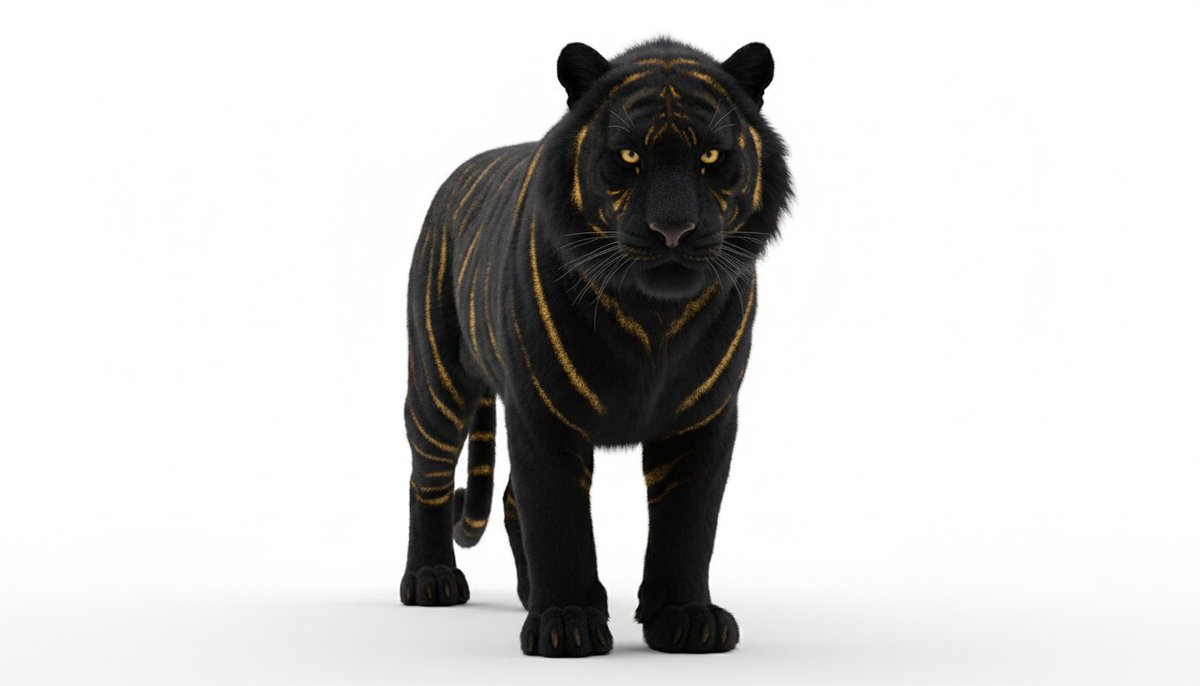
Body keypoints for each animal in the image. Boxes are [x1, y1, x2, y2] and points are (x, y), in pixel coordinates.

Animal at [398, 36, 793, 657]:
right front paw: (566, 623)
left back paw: (527, 593)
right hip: (437, 381)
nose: (673, 229)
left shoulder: (704, 417)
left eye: (710, 157)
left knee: (507, 499)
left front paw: (687, 617)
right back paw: (430, 580)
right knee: (428, 477)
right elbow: (557, 517)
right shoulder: (543, 413)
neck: (654, 315)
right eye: (629, 157)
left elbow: (689, 523)